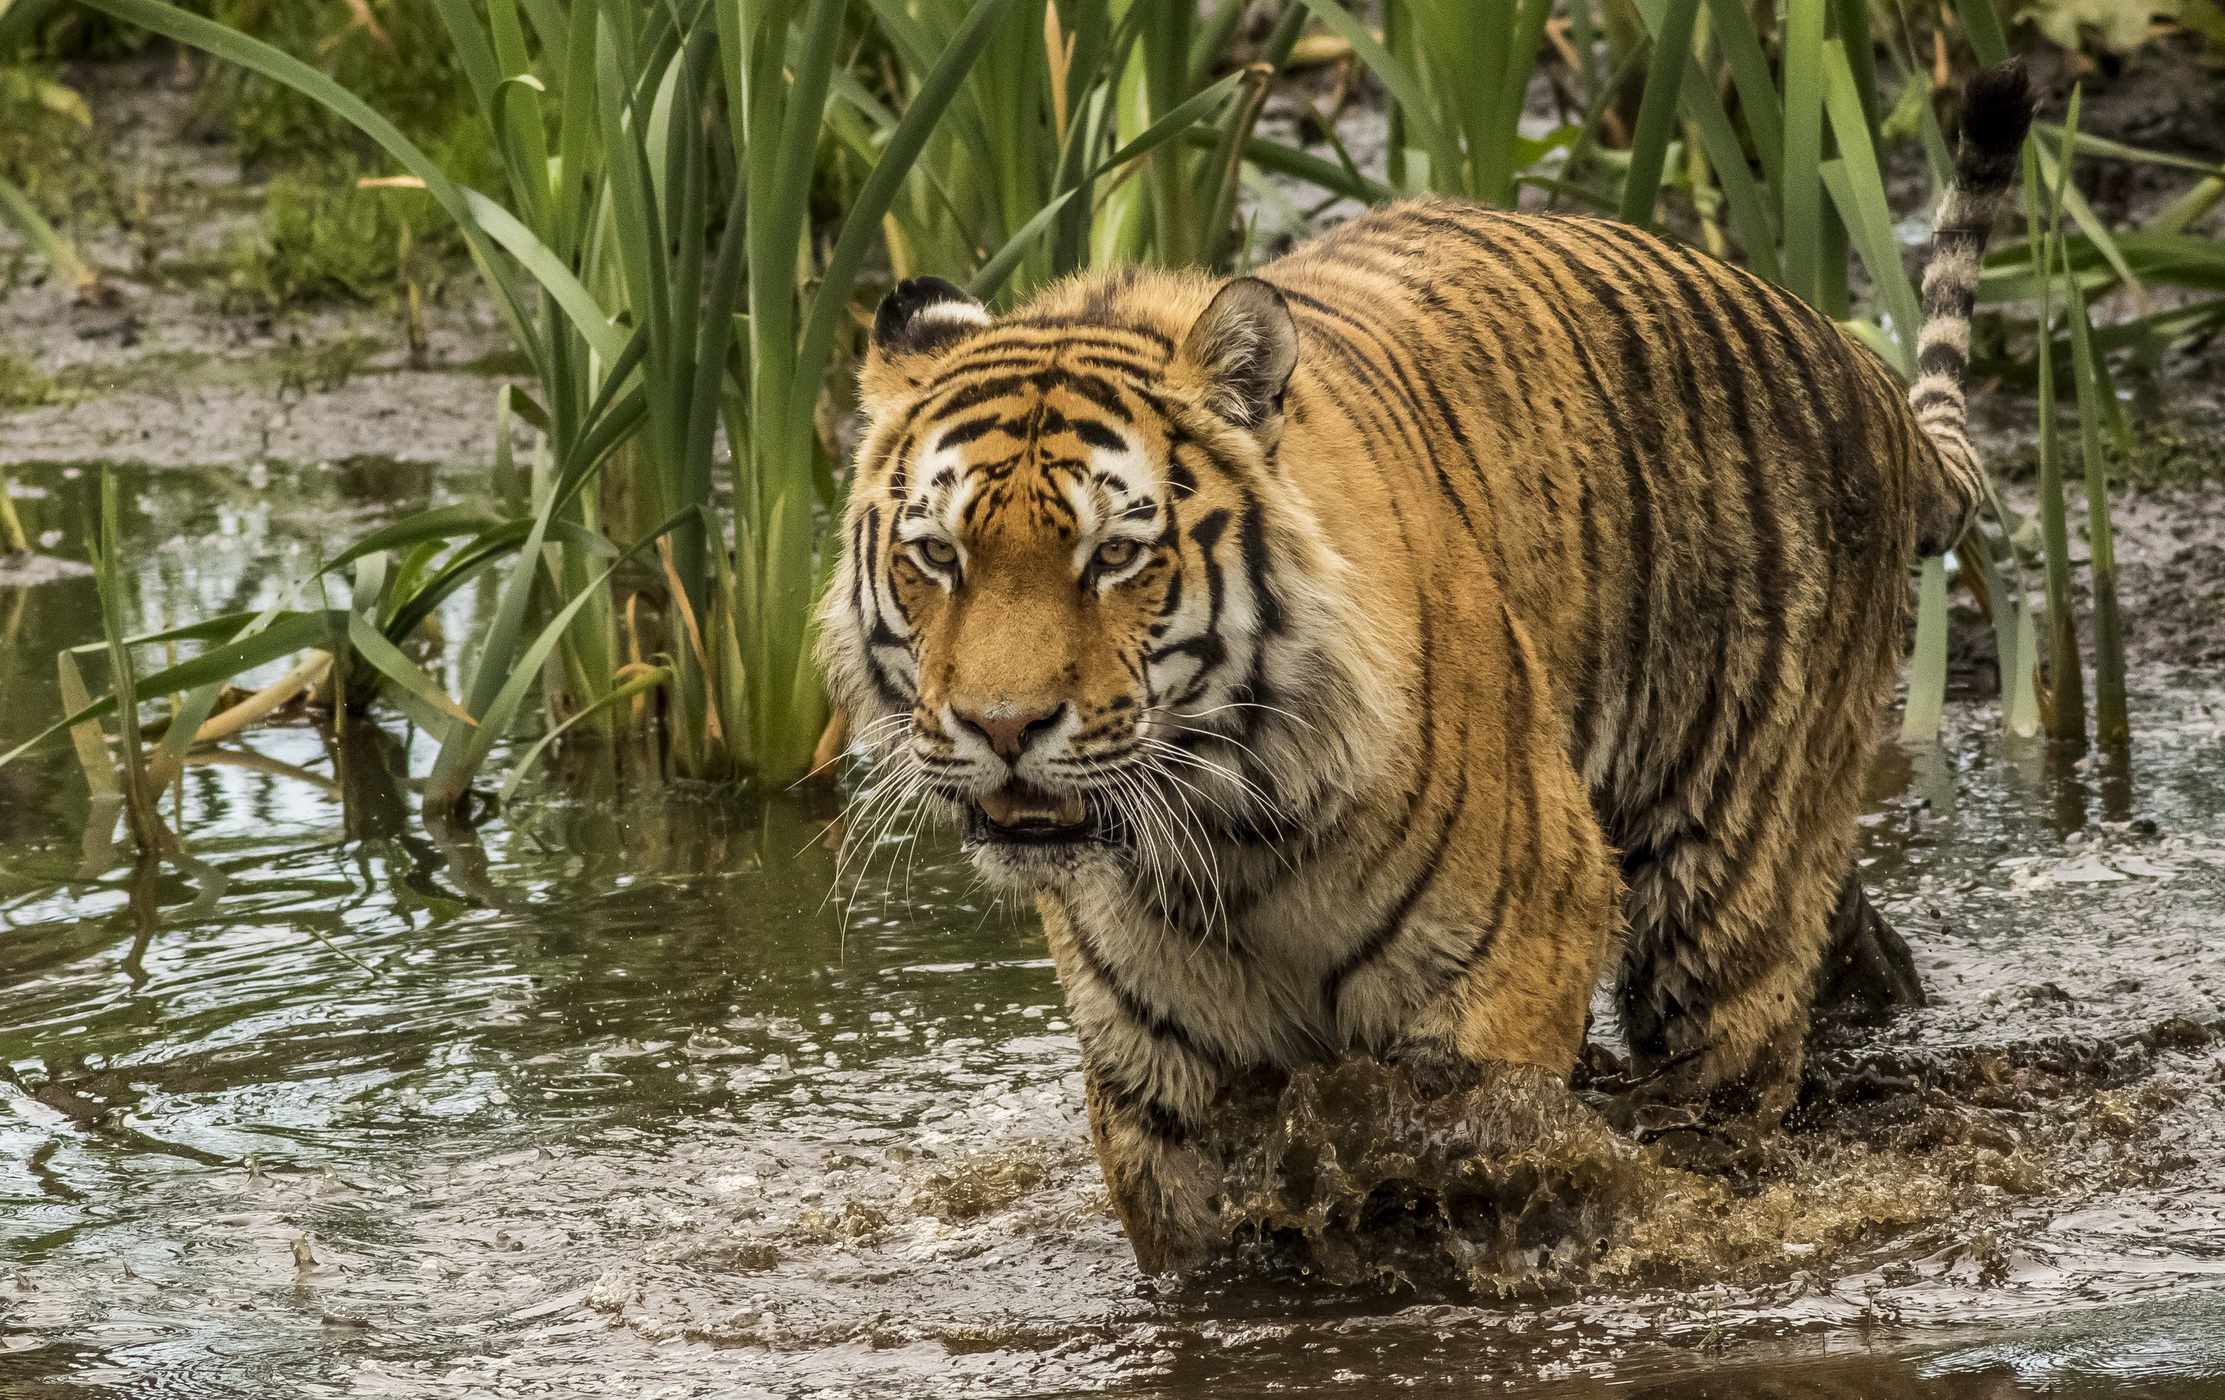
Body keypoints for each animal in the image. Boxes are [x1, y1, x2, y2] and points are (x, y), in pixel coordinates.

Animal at [819, 67, 2035, 1275]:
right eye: (939, 556)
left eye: (1113, 555)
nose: (1002, 728)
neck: (1231, 833)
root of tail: (1852, 360)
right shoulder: (1159, 1074)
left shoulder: (1503, 978)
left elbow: (1474, 1172)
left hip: (1720, 891)